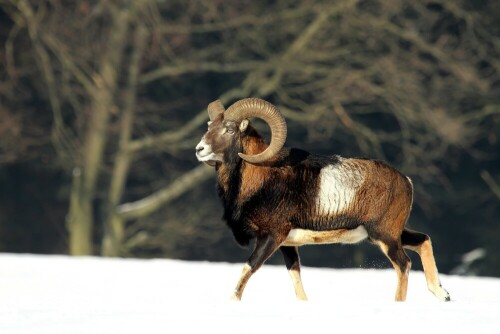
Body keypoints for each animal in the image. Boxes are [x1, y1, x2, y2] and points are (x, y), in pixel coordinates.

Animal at [194, 98, 450, 302]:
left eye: (229, 130)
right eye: (210, 127)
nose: (200, 149)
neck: (262, 177)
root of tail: (406, 181)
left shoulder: (271, 237)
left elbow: (248, 268)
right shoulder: (287, 244)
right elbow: (295, 276)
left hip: (384, 236)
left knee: (403, 264)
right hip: (389, 234)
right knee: (423, 241)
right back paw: (442, 294)